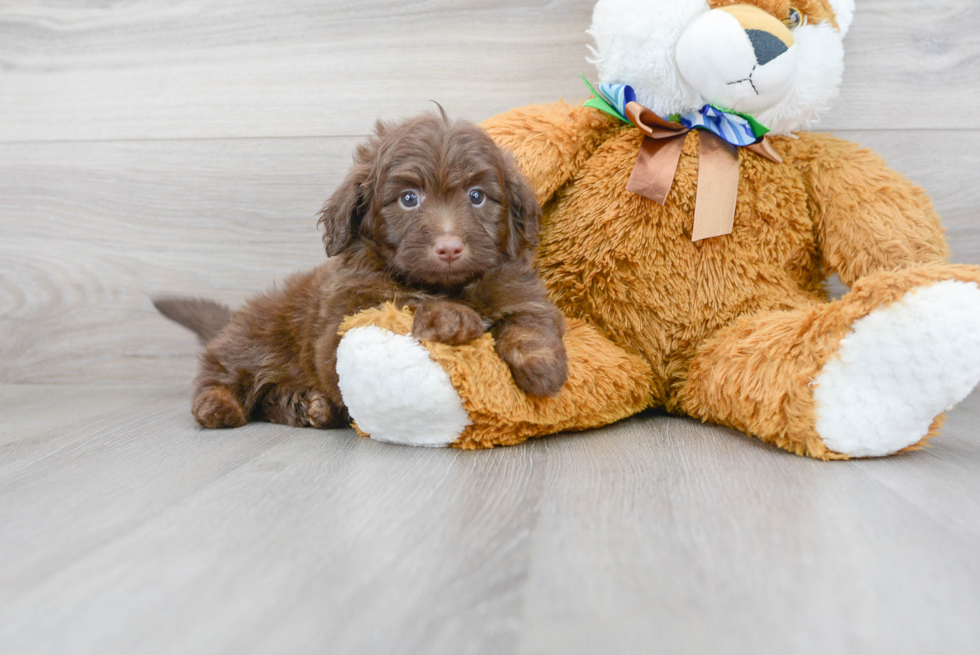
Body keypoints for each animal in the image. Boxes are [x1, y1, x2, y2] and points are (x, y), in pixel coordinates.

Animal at [158, 113, 572, 430]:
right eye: (408, 199)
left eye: (477, 196)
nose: (449, 247)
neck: (448, 286)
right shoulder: (342, 324)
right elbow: (401, 303)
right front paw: (450, 318)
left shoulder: (517, 289)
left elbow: (530, 320)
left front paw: (542, 367)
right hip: (252, 340)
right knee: (221, 373)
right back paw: (218, 406)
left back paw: (308, 406)